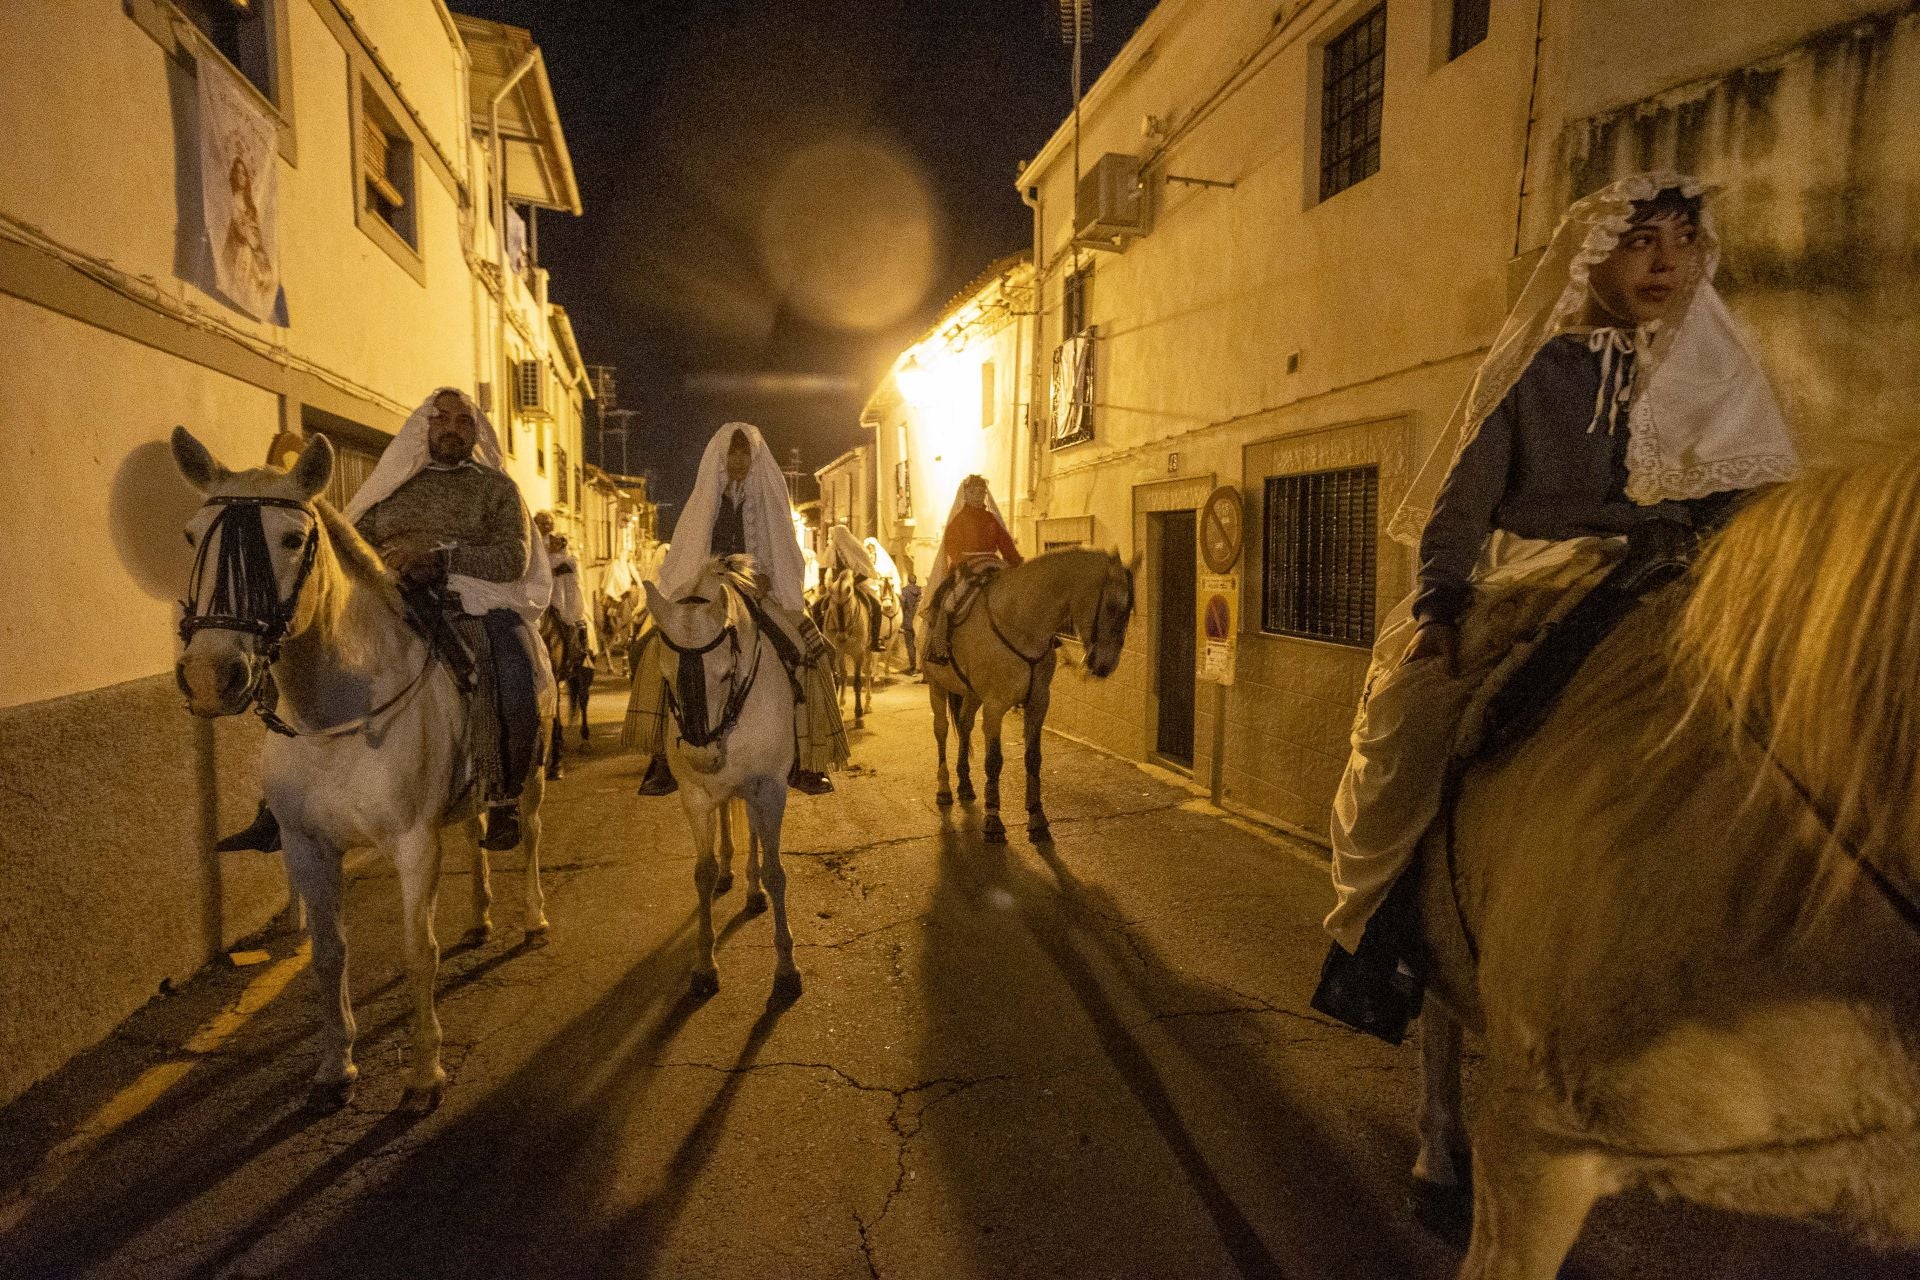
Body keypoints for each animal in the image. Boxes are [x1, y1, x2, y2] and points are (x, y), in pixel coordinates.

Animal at [170, 429, 556, 1113]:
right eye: (193, 536)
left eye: (291, 539)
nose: (212, 676)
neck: (339, 712)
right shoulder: (306, 845)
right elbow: (329, 955)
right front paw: (335, 1067)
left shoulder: (413, 843)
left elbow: (418, 952)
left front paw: (424, 1075)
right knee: (474, 832)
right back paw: (480, 918)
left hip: (531, 779)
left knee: (529, 836)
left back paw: (532, 920)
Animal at [641, 556, 798, 1005]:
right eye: (664, 675)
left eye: (727, 673)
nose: (702, 756)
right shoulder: (695, 796)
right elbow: (703, 873)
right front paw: (704, 966)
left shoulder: (769, 790)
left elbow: (776, 871)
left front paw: (786, 970)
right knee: (728, 815)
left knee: (754, 834)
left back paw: (751, 889)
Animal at [817, 571, 879, 729]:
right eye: (831, 608)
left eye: (848, 608)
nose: (841, 636)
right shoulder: (838, 651)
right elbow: (842, 676)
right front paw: (841, 708)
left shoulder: (859, 653)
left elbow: (857, 682)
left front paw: (859, 713)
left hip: (868, 650)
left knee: (867, 673)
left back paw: (868, 704)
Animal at [929, 548, 1136, 840]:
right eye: (1112, 606)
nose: (1105, 665)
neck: (1022, 624)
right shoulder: (994, 706)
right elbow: (994, 761)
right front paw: (993, 819)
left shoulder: (1038, 702)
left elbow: (1033, 758)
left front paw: (1037, 816)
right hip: (936, 685)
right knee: (942, 730)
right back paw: (944, 789)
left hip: (972, 693)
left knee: (965, 723)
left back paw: (965, 784)